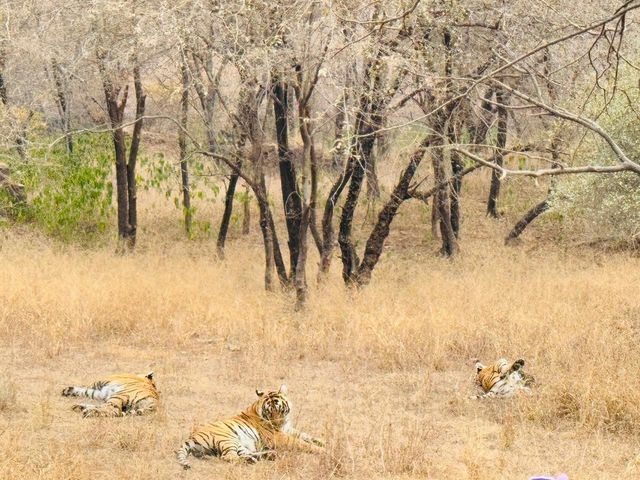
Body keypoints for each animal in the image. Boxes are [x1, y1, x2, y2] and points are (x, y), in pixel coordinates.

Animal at [177, 385, 324, 469]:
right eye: (269, 412)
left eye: (280, 409)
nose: (276, 423)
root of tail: (191, 436)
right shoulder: (278, 436)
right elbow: (301, 442)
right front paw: (321, 450)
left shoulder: (287, 429)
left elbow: (305, 435)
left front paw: (321, 441)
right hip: (228, 438)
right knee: (228, 456)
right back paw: (255, 459)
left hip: (239, 443)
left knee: (246, 453)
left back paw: (267, 456)